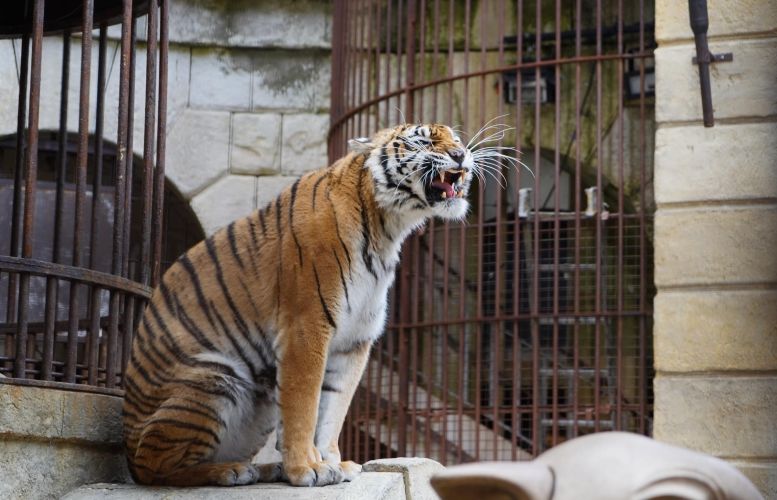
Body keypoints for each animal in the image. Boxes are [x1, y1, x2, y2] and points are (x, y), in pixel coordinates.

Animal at [122, 123, 491, 487]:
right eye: (425, 141)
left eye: (456, 139)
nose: (461, 154)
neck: (386, 227)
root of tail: (127, 439)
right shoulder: (307, 325)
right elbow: (304, 404)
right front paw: (306, 468)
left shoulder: (355, 341)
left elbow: (333, 408)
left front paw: (331, 463)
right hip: (212, 382)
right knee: (153, 468)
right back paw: (231, 471)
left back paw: (266, 469)